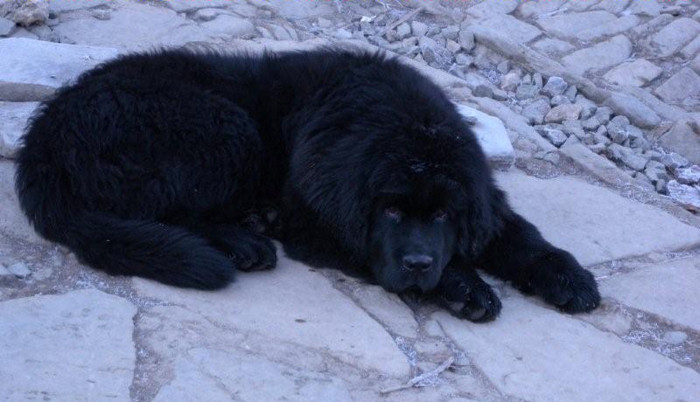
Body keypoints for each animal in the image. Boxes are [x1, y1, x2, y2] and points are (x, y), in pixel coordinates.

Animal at [13, 49, 600, 320]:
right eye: (390, 211)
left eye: (442, 216)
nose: (417, 264)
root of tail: (47, 134)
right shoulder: (320, 226)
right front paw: (467, 286)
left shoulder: (481, 200)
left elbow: (522, 237)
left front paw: (569, 278)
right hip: (226, 127)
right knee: (162, 211)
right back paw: (245, 241)